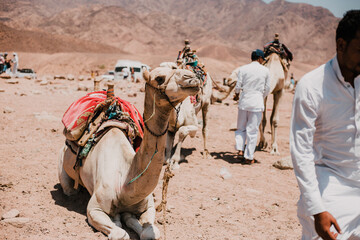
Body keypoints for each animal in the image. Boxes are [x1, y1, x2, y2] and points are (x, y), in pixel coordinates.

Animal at [57, 66, 201, 239]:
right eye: (159, 78)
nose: (192, 77)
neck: (124, 182)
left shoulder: (148, 205)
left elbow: (149, 232)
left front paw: (128, 218)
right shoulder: (94, 209)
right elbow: (120, 233)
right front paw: (119, 220)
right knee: (69, 190)